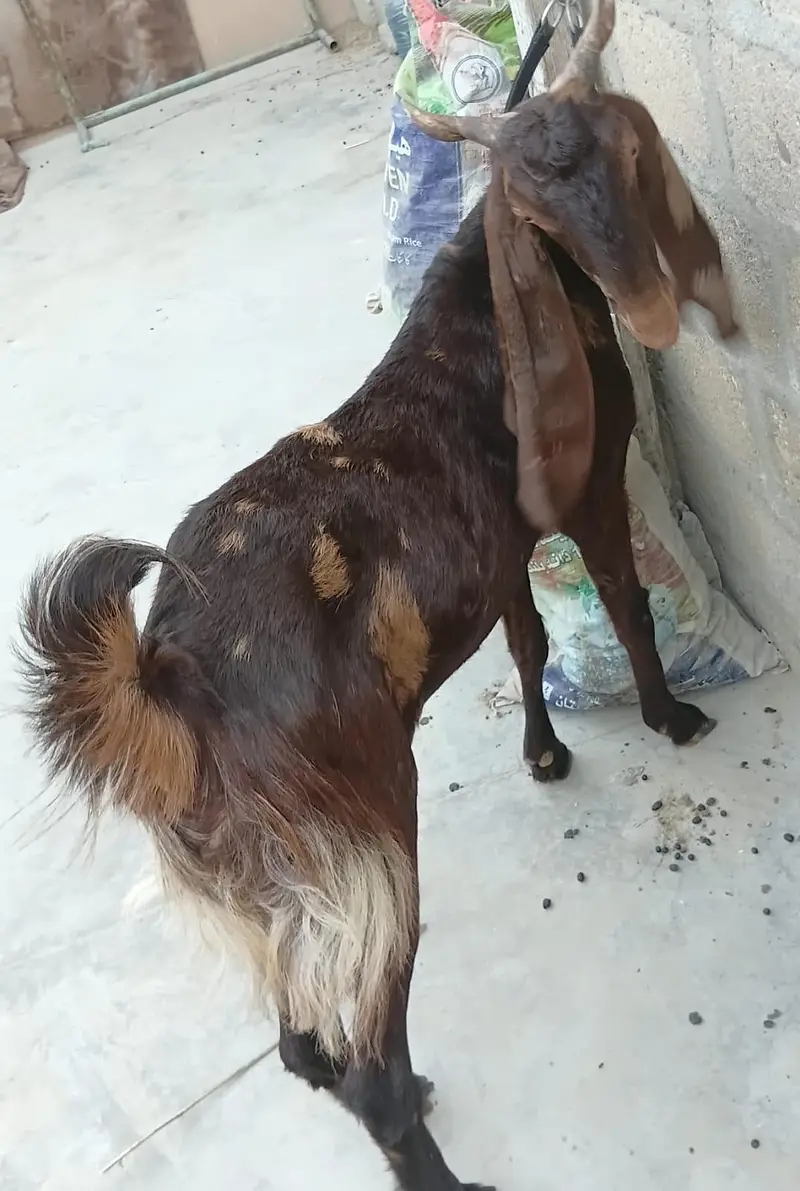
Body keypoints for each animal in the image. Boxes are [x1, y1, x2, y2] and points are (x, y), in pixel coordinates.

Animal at [16, 2, 738, 1188]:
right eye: (537, 195)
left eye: (622, 157)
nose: (647, 304)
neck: (482, 293)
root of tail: (166, 688)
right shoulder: (588, 486)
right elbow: (625, 606)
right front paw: (669, 715)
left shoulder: (502, 546)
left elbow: (529, 641)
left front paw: (544, 752)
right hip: (362, 845)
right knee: (369, 1065)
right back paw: (435, 1152)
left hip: (266, 886)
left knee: (296, 1033)